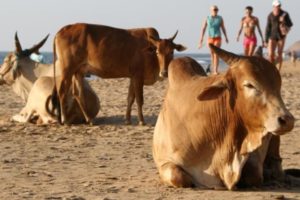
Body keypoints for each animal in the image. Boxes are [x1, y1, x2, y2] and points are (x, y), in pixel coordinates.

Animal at [154, 45, 294, 191]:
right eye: (249, 85)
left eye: (278, 85)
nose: (287, 120)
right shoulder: (165, 161)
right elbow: (179, 177)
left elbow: (253, 173)